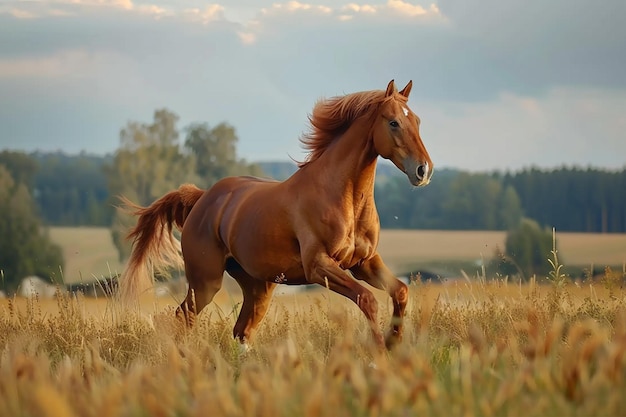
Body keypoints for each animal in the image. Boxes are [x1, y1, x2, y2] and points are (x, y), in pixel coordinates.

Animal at [120, 79, 434, 350]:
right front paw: (380, 353)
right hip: (205, 282)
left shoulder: (363, 262)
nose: (423, 170)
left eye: (417, 121)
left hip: (258, 286)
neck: (341, 197)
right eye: (393, 122)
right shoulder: (319, 266)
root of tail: (202, 198)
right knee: (183, 317)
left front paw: (394, 342)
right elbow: (368, 299)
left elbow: (400, 291)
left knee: (241, 331)